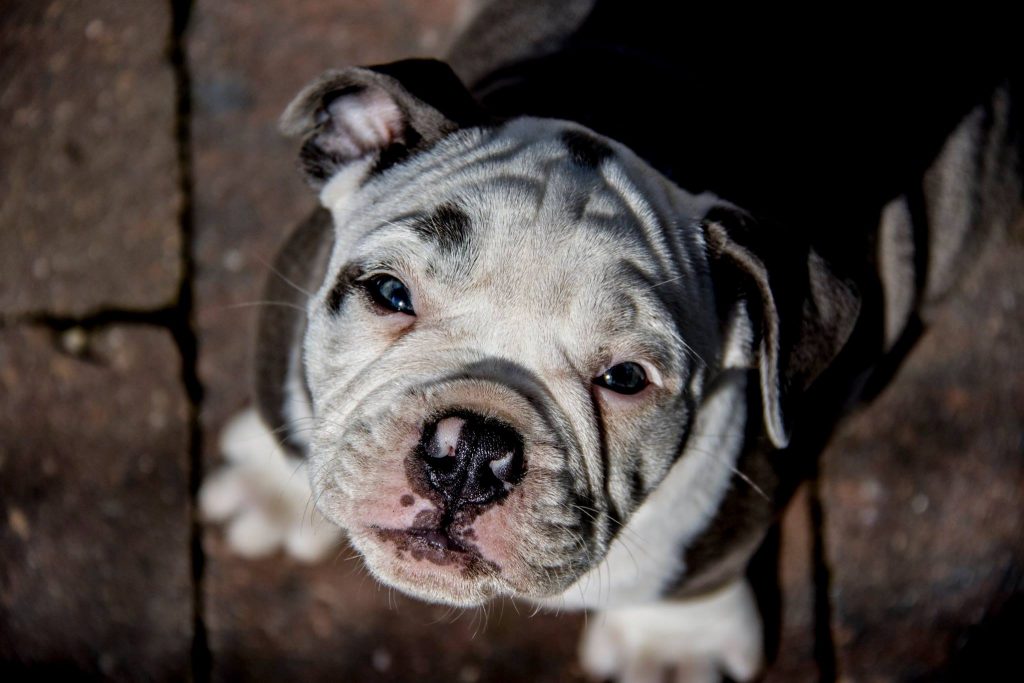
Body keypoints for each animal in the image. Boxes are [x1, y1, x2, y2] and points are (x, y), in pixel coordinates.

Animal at [201, 2, 1024, 679]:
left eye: (626, 378)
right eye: (390, 295)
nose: (471, 450)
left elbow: (695, 575)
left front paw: (673, 650)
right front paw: (271, 487)